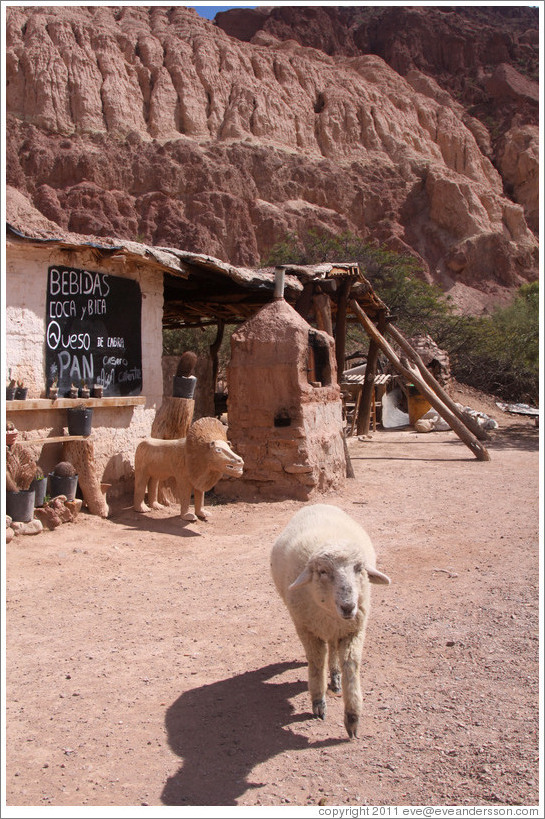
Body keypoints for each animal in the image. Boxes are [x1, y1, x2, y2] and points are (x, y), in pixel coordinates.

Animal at [270, 502, 388, 740]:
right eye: (323, 571)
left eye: (359, 568)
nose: (349, 606)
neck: (330, 613)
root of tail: (317, 503)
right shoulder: (307, 629)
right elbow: (316, 661)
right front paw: (318, 702)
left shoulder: (354, 630)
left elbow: (351, 665)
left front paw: (352, 717)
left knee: (333, 648)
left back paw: (335, 677)